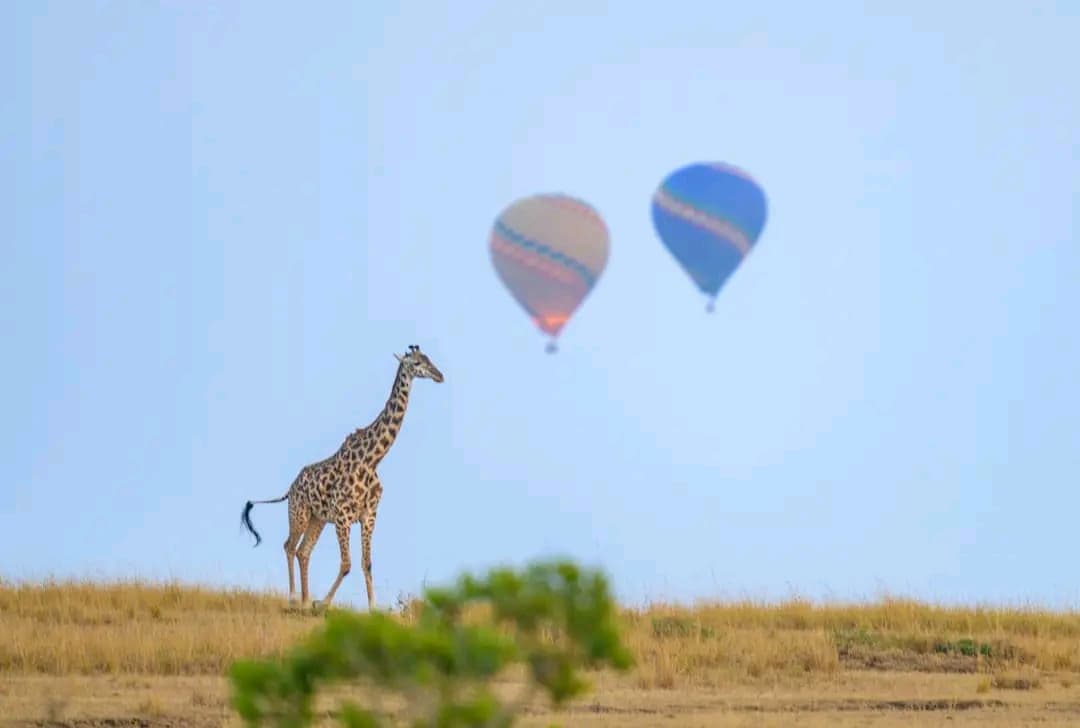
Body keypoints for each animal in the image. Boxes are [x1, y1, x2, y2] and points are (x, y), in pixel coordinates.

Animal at [241, 344, 444, 611]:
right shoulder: (343, 516)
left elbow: (367, 563)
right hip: (299, 512)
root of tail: (290, 487)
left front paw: (372, 608)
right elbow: (347, 564)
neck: (372, 459)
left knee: (303, 551)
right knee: (289, 546)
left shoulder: (369, 515)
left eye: (429, 358)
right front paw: (323, 603)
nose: (440, 375)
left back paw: (305, 600)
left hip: (317, 519)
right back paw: (295, 599)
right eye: (417, 362)